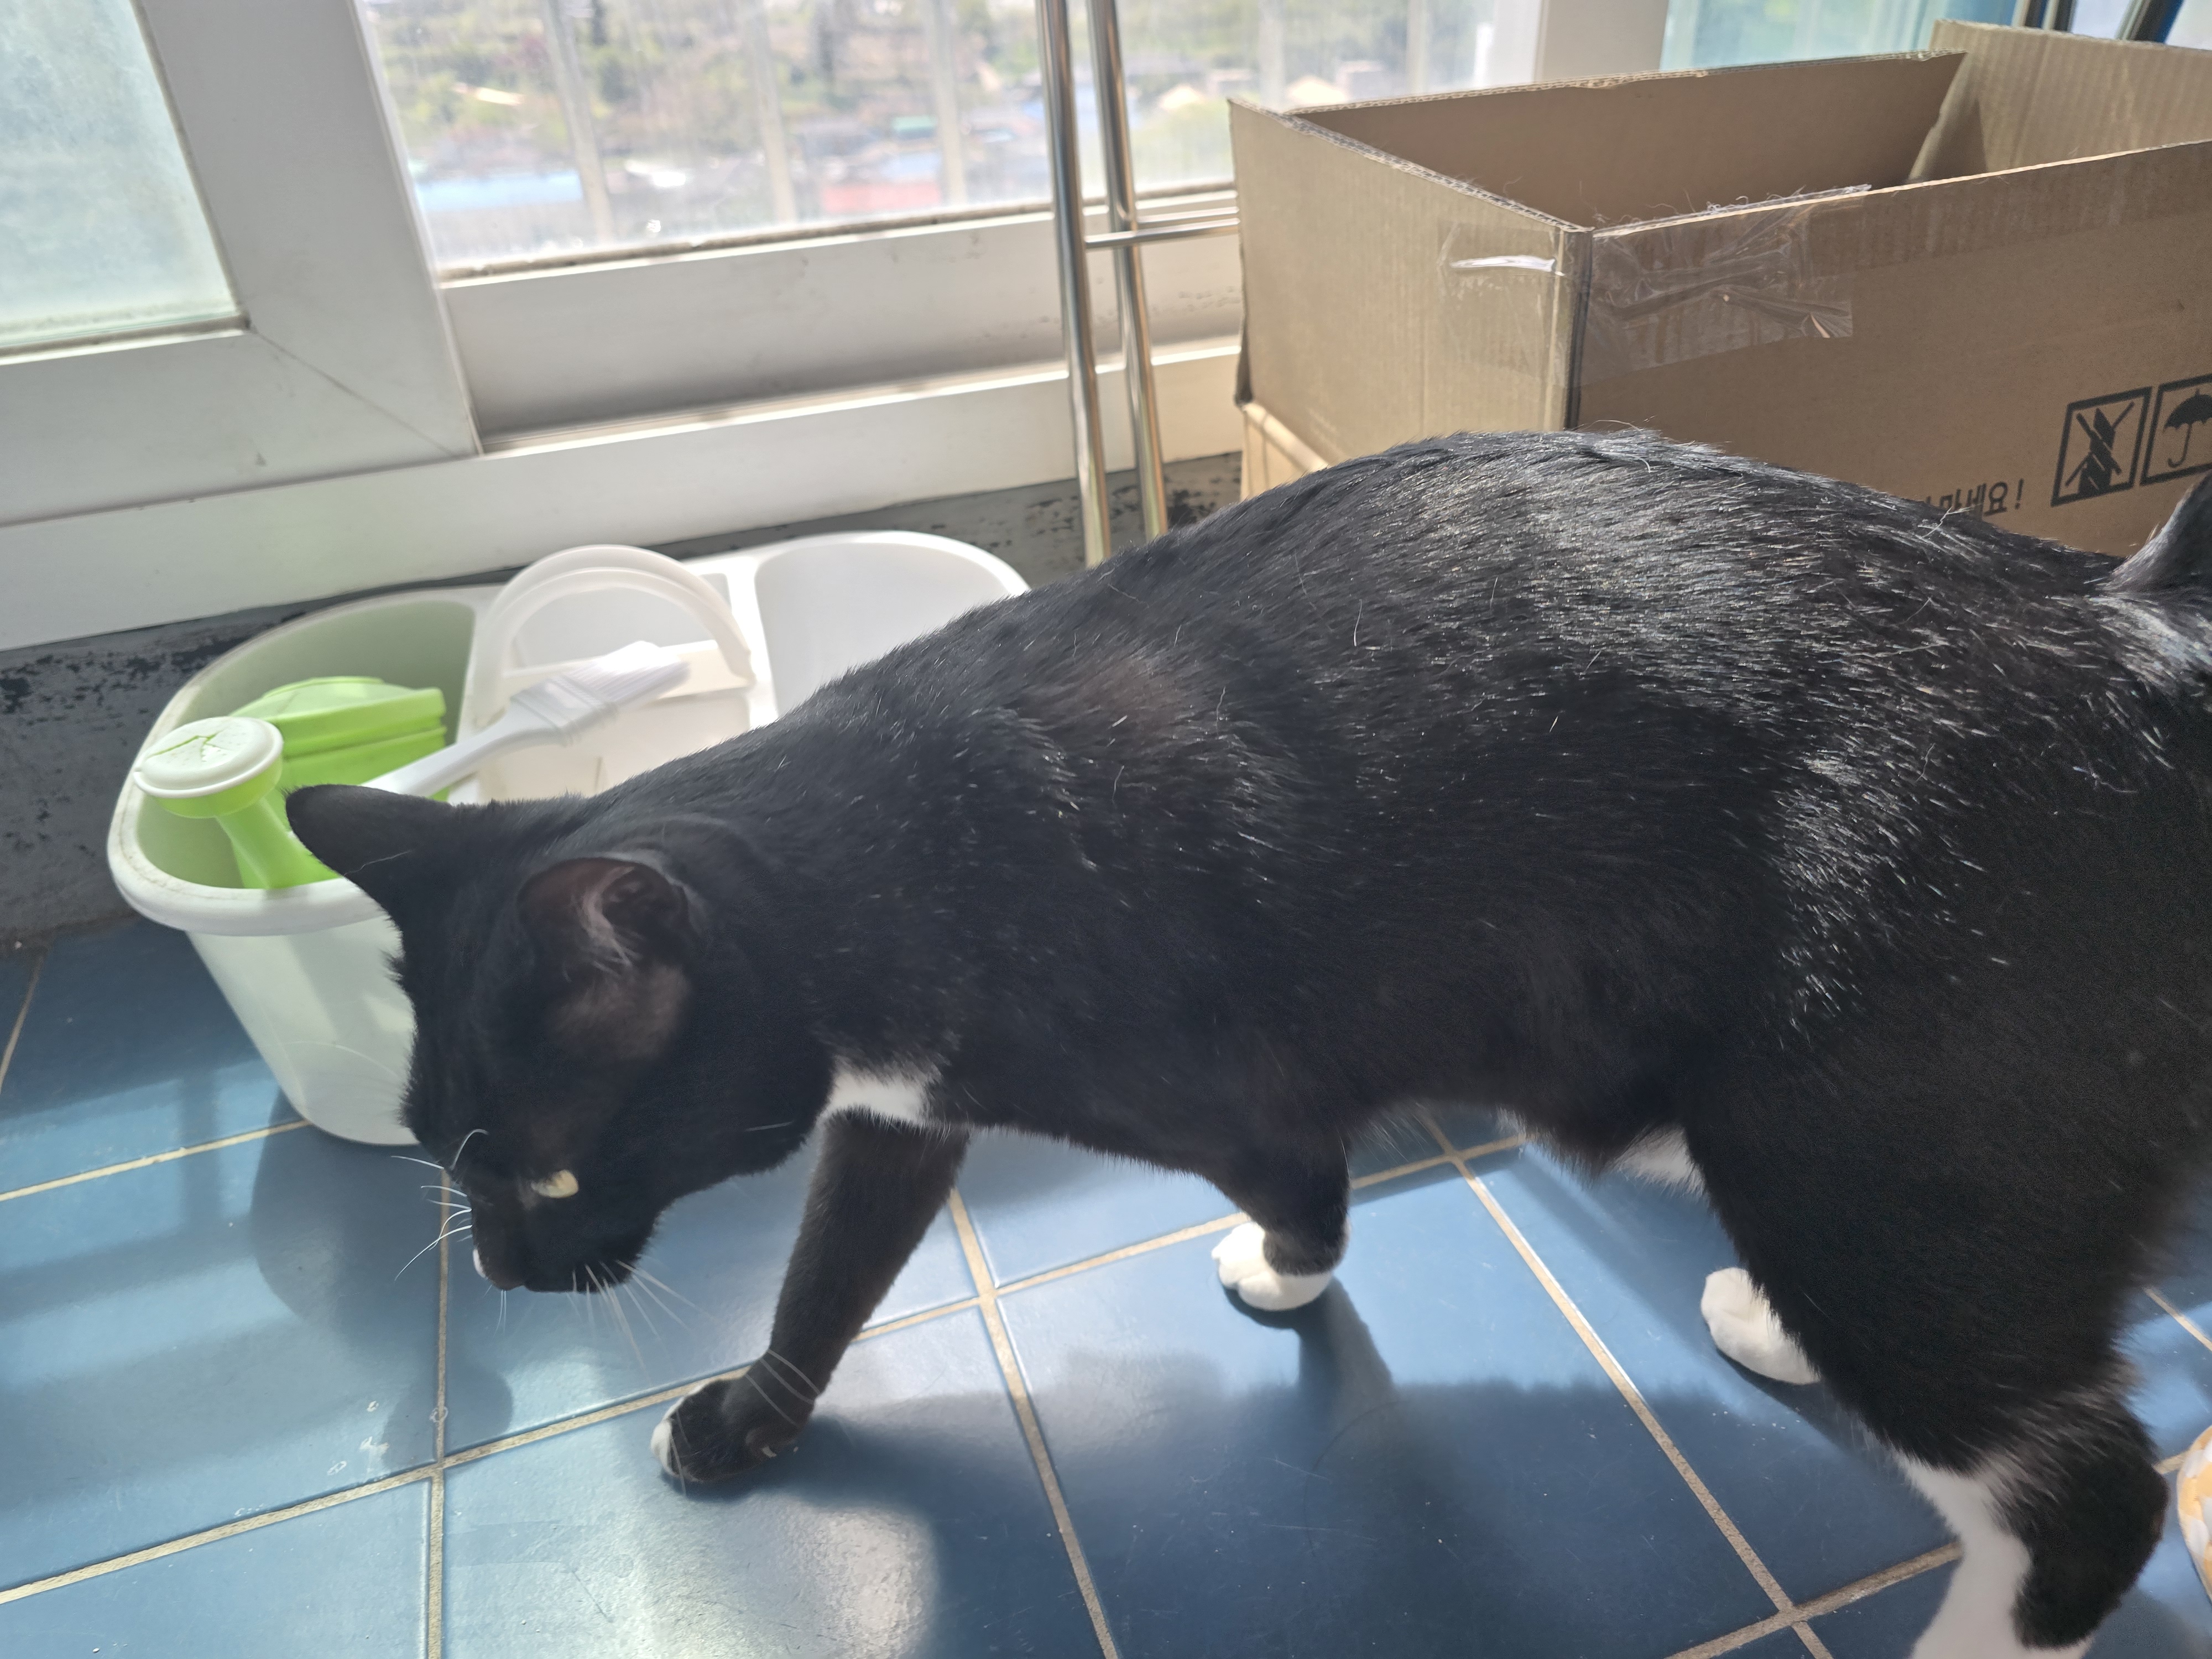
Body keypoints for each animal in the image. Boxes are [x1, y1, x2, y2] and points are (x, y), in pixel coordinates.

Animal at [288, 430, 2212, 1659]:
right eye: (436, 1152)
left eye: (549, 1171)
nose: (503, 1269)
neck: (894, 837)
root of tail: (2127, 622)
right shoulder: (895, 1110)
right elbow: (829, 1269)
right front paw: (761, 1417)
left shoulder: (1222, 1082)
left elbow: (1299, 1181)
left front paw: (1284, 1274)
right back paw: (1763, 1319)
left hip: (1870, 1164)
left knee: (2091, 1500)